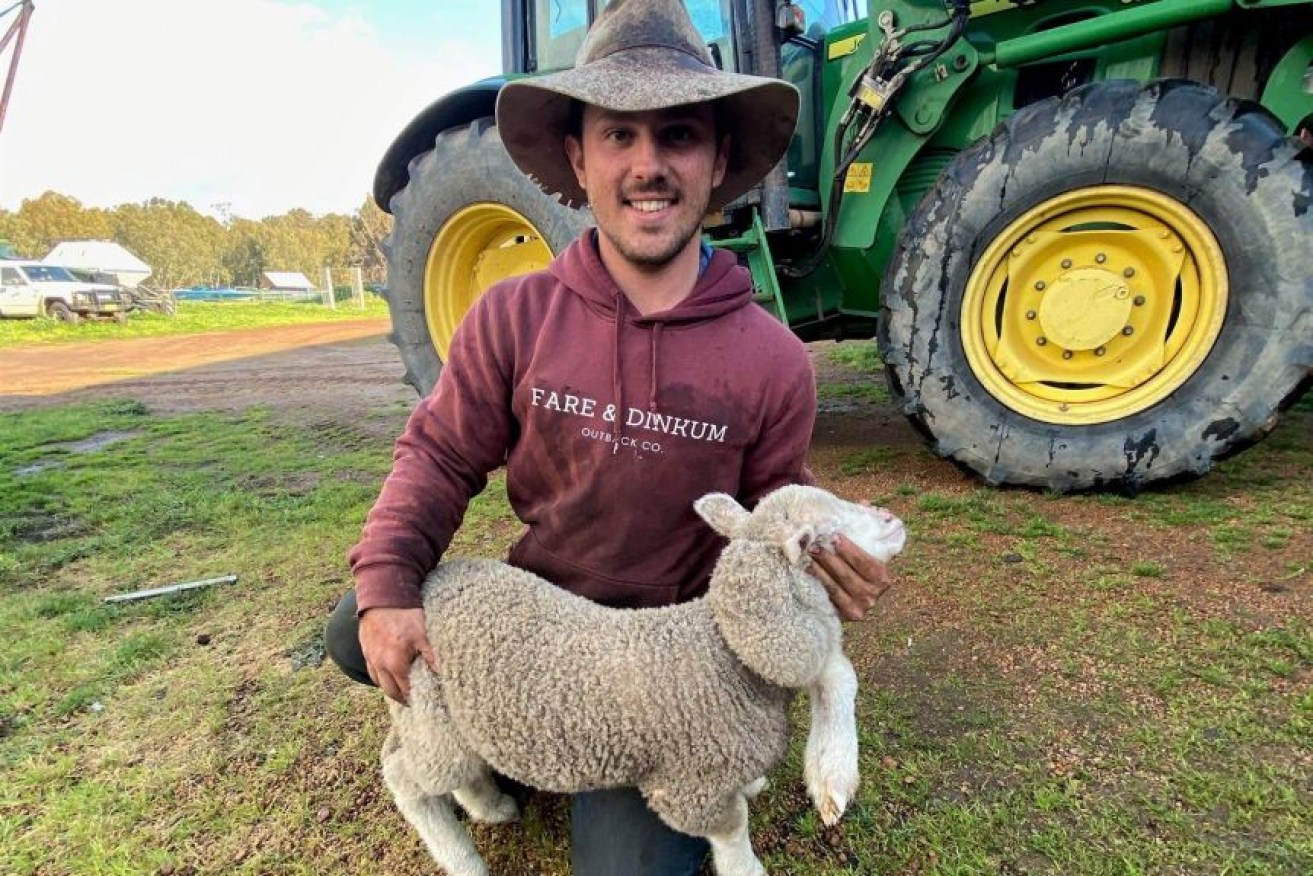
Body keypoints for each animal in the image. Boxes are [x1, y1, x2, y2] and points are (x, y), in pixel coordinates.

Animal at [383, 485, 908, 876]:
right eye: (830, 531)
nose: (892, 520)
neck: (726, 658)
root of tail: (432, 582)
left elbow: (836, 672)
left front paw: (824, 776)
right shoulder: (690, 785)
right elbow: (731, 827)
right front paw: (752, 861)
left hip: (443, 721)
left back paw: (490, 806)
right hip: (431, 714)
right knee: (404, 775)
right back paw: (463, 858)